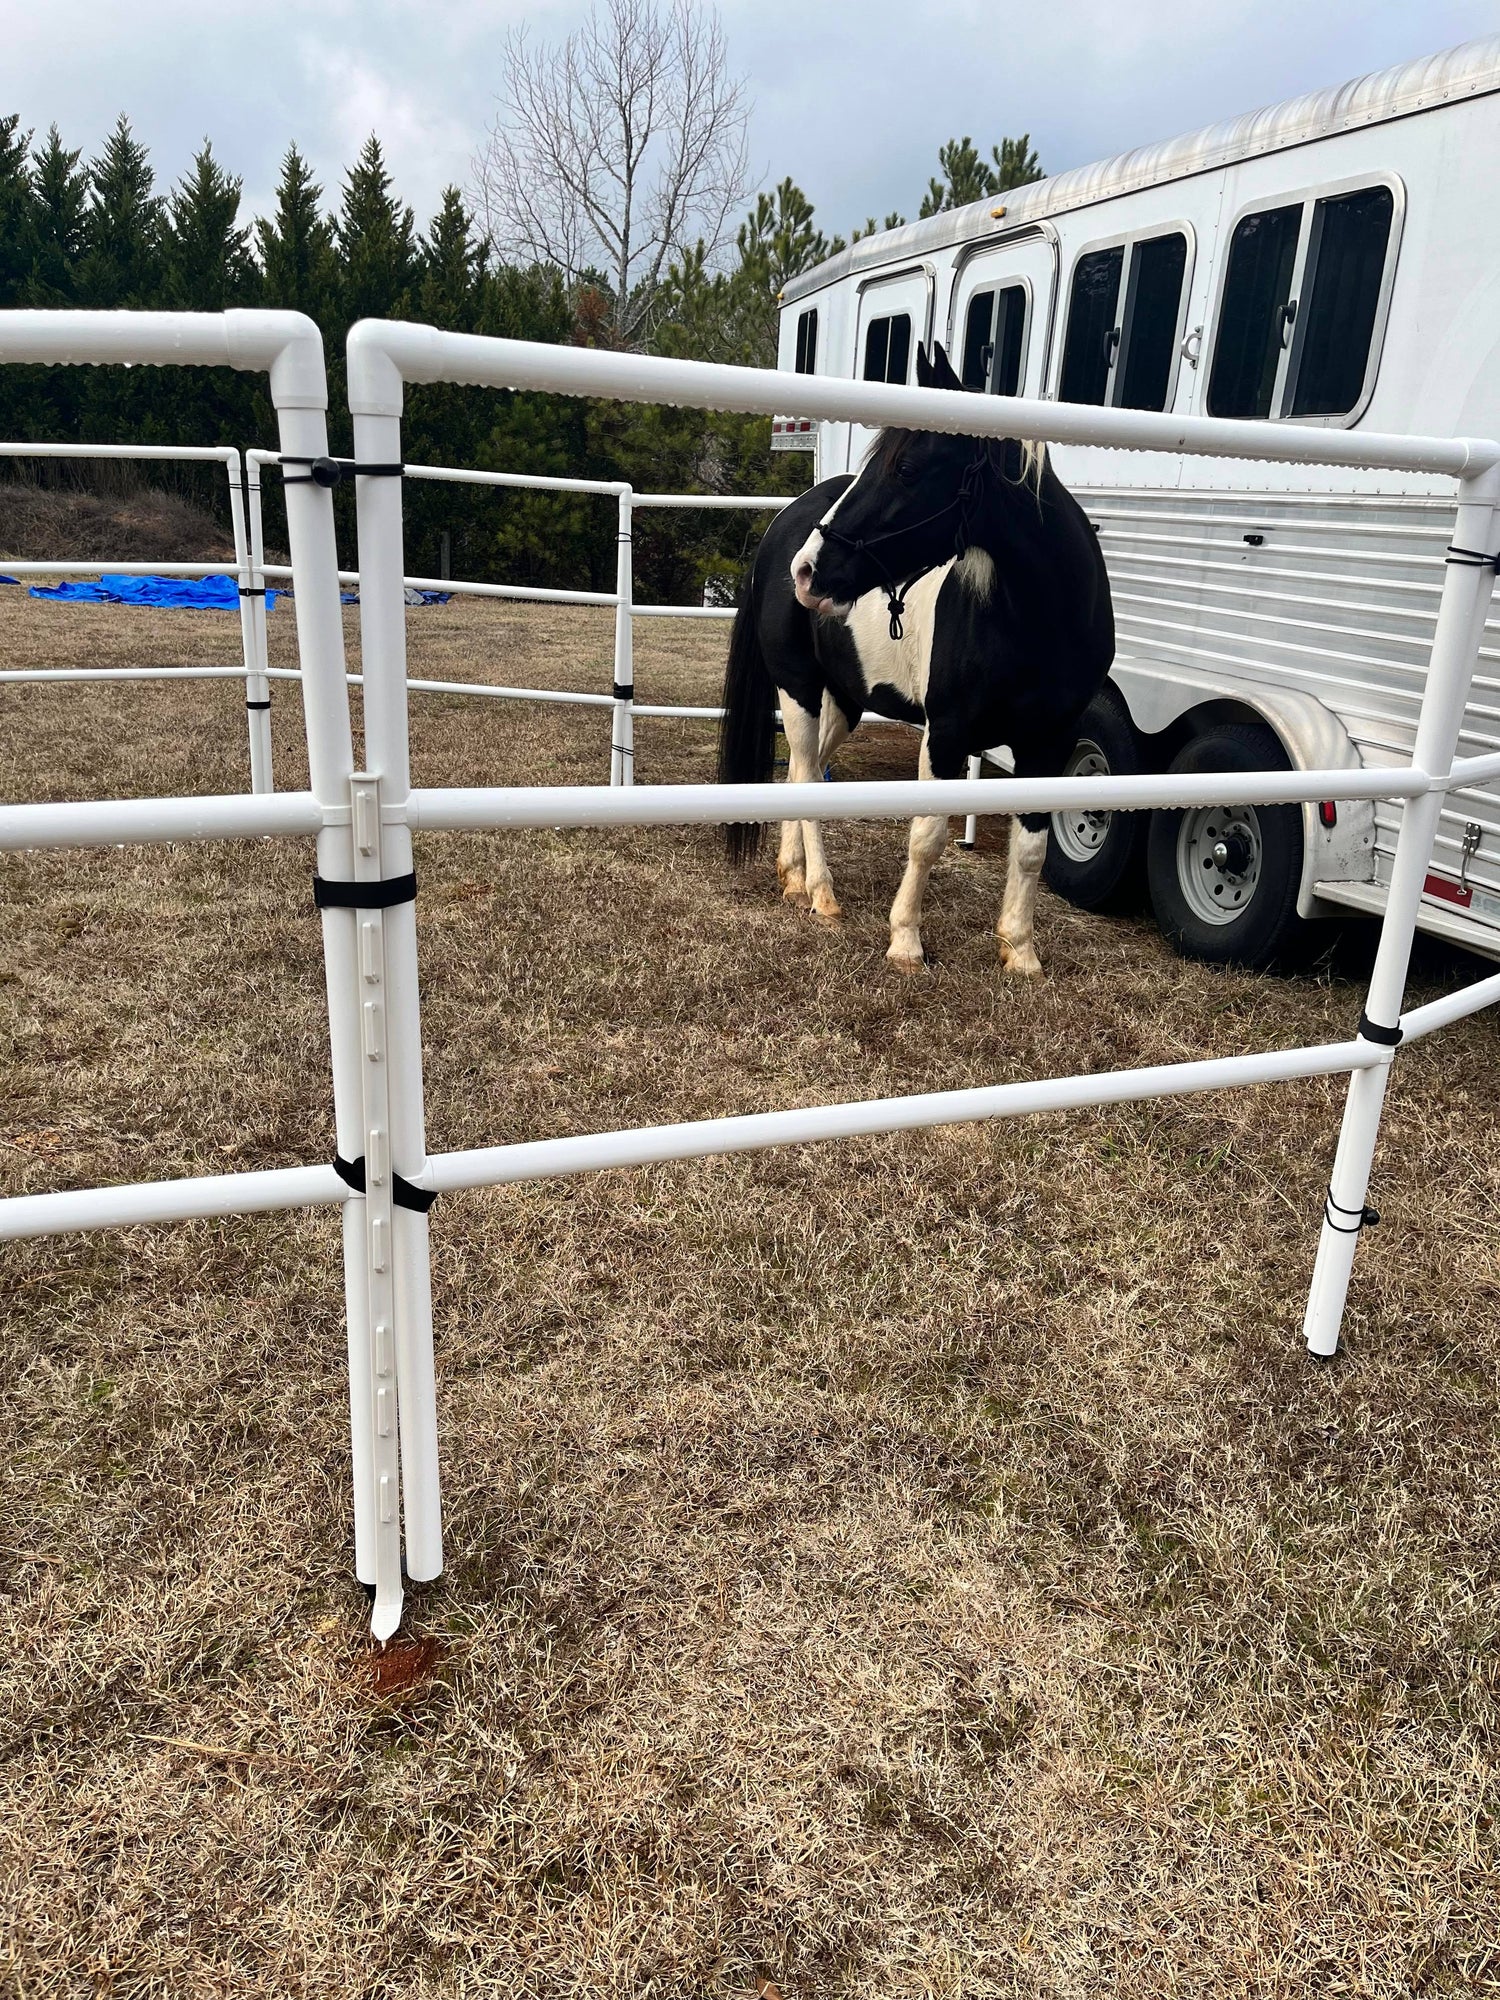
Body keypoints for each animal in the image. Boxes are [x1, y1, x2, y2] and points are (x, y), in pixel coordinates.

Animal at [717, 340, 1115, 975]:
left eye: (905, 469)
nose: (806, 571)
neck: (1035, 623)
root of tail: (783, 525)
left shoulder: (1050, 741)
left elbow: (1031, 848)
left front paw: (1020, 951)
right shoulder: (946, 734)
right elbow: (927, 836)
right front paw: (905, 940)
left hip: (846, 701)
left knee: (809, 774)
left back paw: (795, 877)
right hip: (798, 689)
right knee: (803, 772)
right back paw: (821, 893)